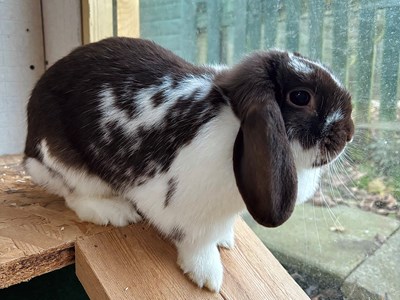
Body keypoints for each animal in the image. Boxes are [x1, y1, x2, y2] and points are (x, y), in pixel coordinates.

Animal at [23, 36, 354, 292]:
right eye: (300, 97)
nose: (348, 133)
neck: (233, 124)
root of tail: (29, 150)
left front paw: (225, 241)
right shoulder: (186, 212)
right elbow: (198, 244)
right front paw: (208, 276)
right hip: (71, 167)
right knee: (75, 197)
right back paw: (116, 213)